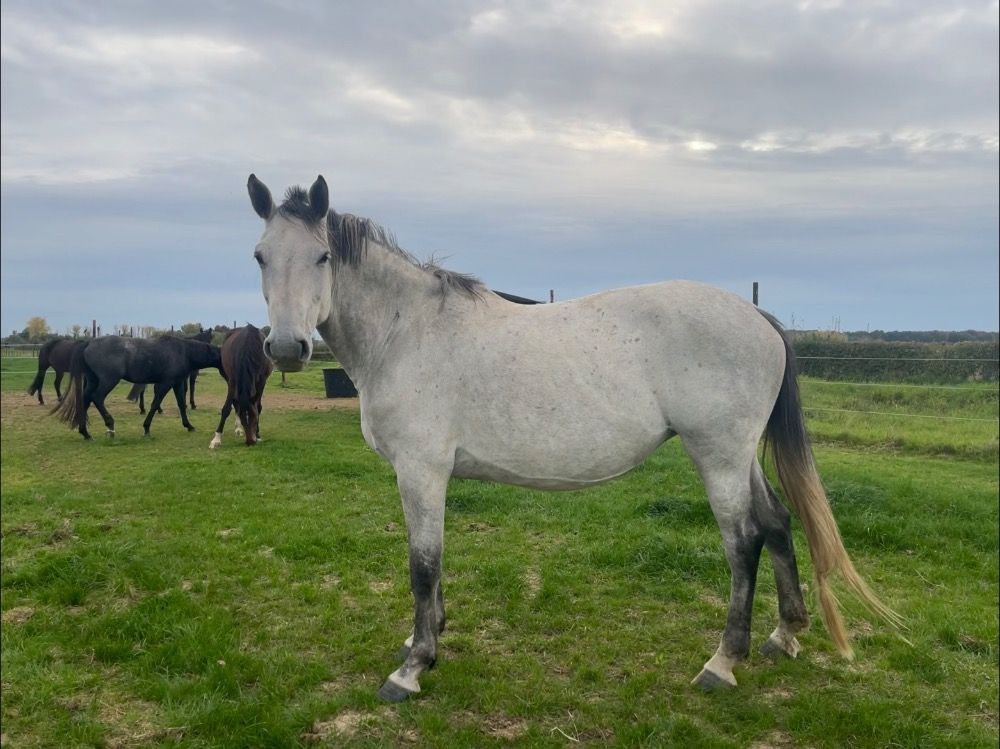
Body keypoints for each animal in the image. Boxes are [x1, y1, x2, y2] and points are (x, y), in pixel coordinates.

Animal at [54, 335, 222, 439]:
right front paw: (146, 428)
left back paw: (85, 433)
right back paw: (110, 426)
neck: (183, 352)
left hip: (93, 380)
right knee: (97, 398)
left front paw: (189, 425)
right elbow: (155, 404)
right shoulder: (165, 383)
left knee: (85, 400)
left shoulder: (177, 383)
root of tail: (89, 343)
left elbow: (181, 405)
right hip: (108, 380)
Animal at [246, 174, 902, 702]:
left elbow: (422, 564)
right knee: (778, 522)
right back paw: (785, 635)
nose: (287, 348)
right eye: (259, 257)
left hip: (717, 455)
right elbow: (431, 564)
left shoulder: (421, 470)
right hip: (740, 457)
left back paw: (722, 662)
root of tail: (757, 317)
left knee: (743, 542)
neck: (408, 332)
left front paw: (413, 667)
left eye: (323, 257)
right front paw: (424, 638)